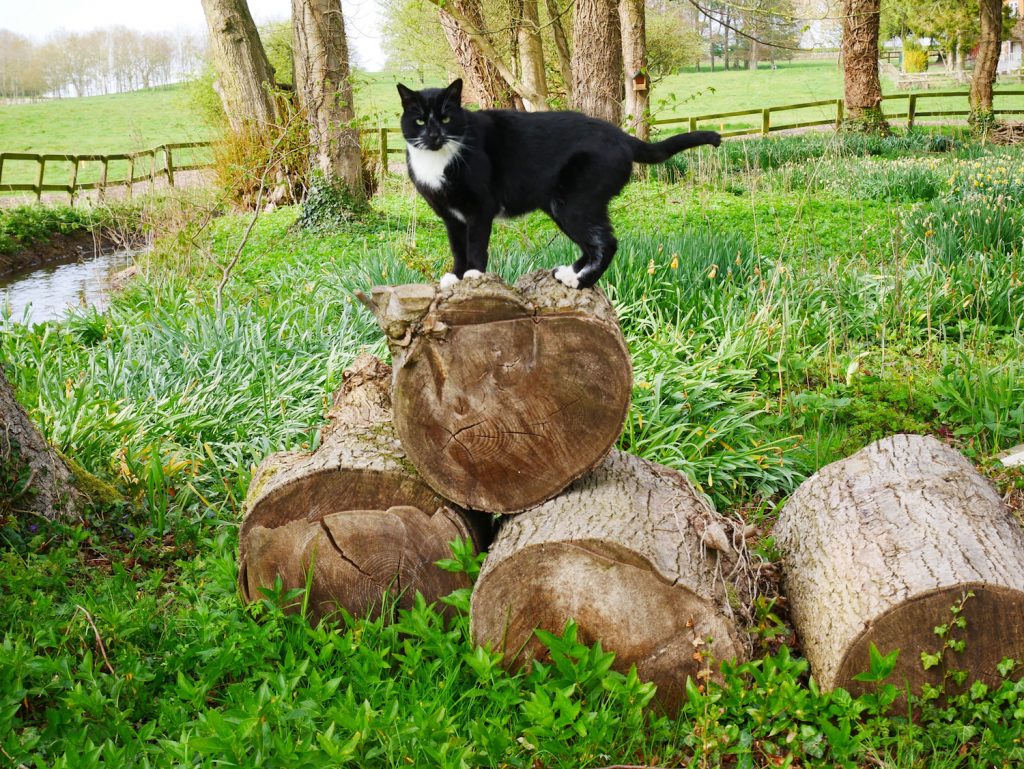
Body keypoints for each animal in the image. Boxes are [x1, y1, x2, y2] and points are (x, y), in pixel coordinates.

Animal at [393, 78, 720, 288]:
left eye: (446, 118)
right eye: (420, 121)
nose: (434, 135)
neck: (438, 159)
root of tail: (620, 136)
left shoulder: (479, 209)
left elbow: (475, 245)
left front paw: (473, 275)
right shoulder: (451, 216)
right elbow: (457, 247)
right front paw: (456, 275)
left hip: (574, 202)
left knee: (607, 243)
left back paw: (579, 282)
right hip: (565, 205)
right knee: (593, 243)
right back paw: (568, 273)